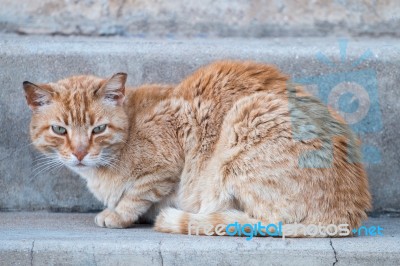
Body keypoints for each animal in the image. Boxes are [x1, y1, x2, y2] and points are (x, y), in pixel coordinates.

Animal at [23, 61, 370, 238]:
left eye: (98, 129)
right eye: (59, 130)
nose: (80, 153)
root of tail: (349, 211)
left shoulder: (167, 162)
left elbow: (136, 193)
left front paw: (118, 215)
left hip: (247, 119)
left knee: (260, 221)